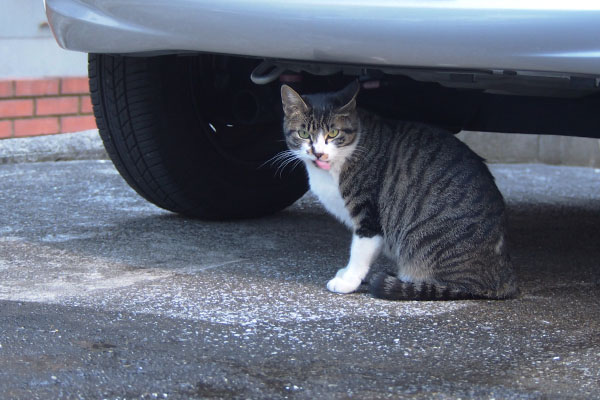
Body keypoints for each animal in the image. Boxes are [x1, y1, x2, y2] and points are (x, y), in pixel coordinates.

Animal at [278, 81, 516, 300]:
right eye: (303, 133)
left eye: (333, 132)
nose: (318, 153)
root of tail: (504, 279)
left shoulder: (368, 214)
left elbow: (359, 251)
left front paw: (348, 280)